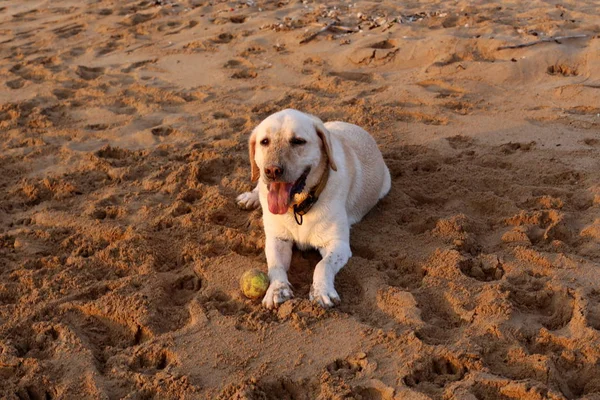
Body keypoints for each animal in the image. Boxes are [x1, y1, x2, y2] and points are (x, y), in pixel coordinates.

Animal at [237, 109, 392, 310]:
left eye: (298, 141)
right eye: (264, 142)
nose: (272, 170)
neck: (297, 207)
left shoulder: (338, 244)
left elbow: (323, 265)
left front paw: (321, 291)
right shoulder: (276, 239)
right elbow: (275, 266)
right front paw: (277, 289)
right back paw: (251, 197)